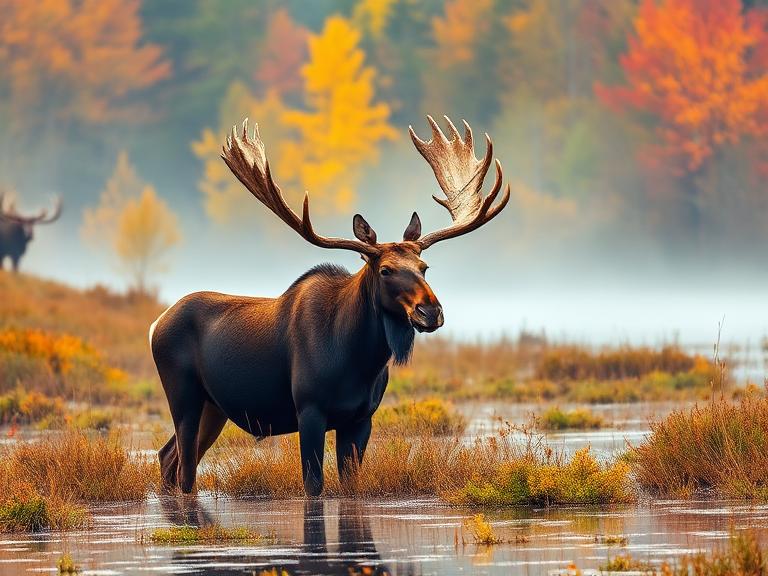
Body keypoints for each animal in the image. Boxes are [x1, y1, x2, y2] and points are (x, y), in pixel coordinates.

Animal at [150, 116, 510, 496]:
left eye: (424, 267)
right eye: (385, 269)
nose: (431, 312)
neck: (358, 361)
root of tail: (156, 324)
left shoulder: (361, 418)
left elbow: (351, 486)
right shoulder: (309, 409)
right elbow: (314, 486)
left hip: (214, 407)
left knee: (167, 456)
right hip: (184, 397)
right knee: (185, 470)